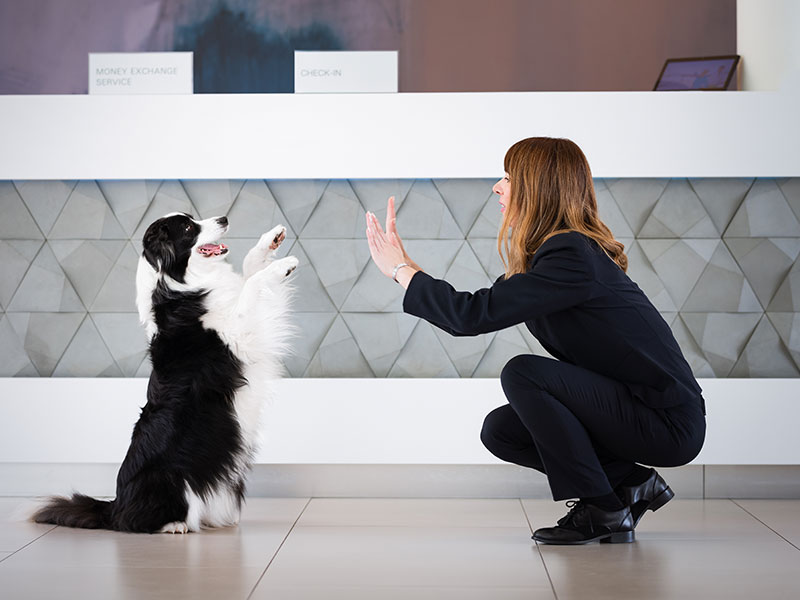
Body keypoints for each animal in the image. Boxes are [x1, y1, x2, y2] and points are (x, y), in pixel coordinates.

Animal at [32, 213, 298, 532]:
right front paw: (282, 266)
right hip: (168, 478)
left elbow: (249, 268)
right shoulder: (237, 335)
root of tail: (113, 506)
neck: (179, 287)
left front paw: (272, 241)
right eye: (188, 228)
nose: (224, 218)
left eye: (193, 217)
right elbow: (252, 286)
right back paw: (174, 525)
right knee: (135, 521)